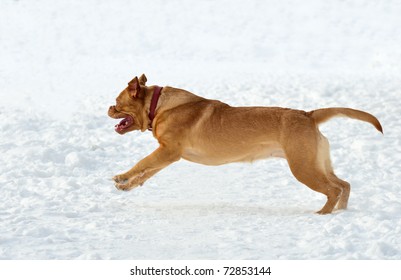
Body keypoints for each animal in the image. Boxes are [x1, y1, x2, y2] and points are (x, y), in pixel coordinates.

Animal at [108, 74, 382, 214]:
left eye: (118, 102)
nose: (109, 108)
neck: (158, 106)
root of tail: (308, 115)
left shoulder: (168, 151)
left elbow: (142, 163)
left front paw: (122, 176)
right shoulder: (167, 155)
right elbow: (146, 173)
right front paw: (127, 185)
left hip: (303, 167)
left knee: (333, 190)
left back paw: (323, 214)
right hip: (317, 164)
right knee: (344, 185)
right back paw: (341, 211)